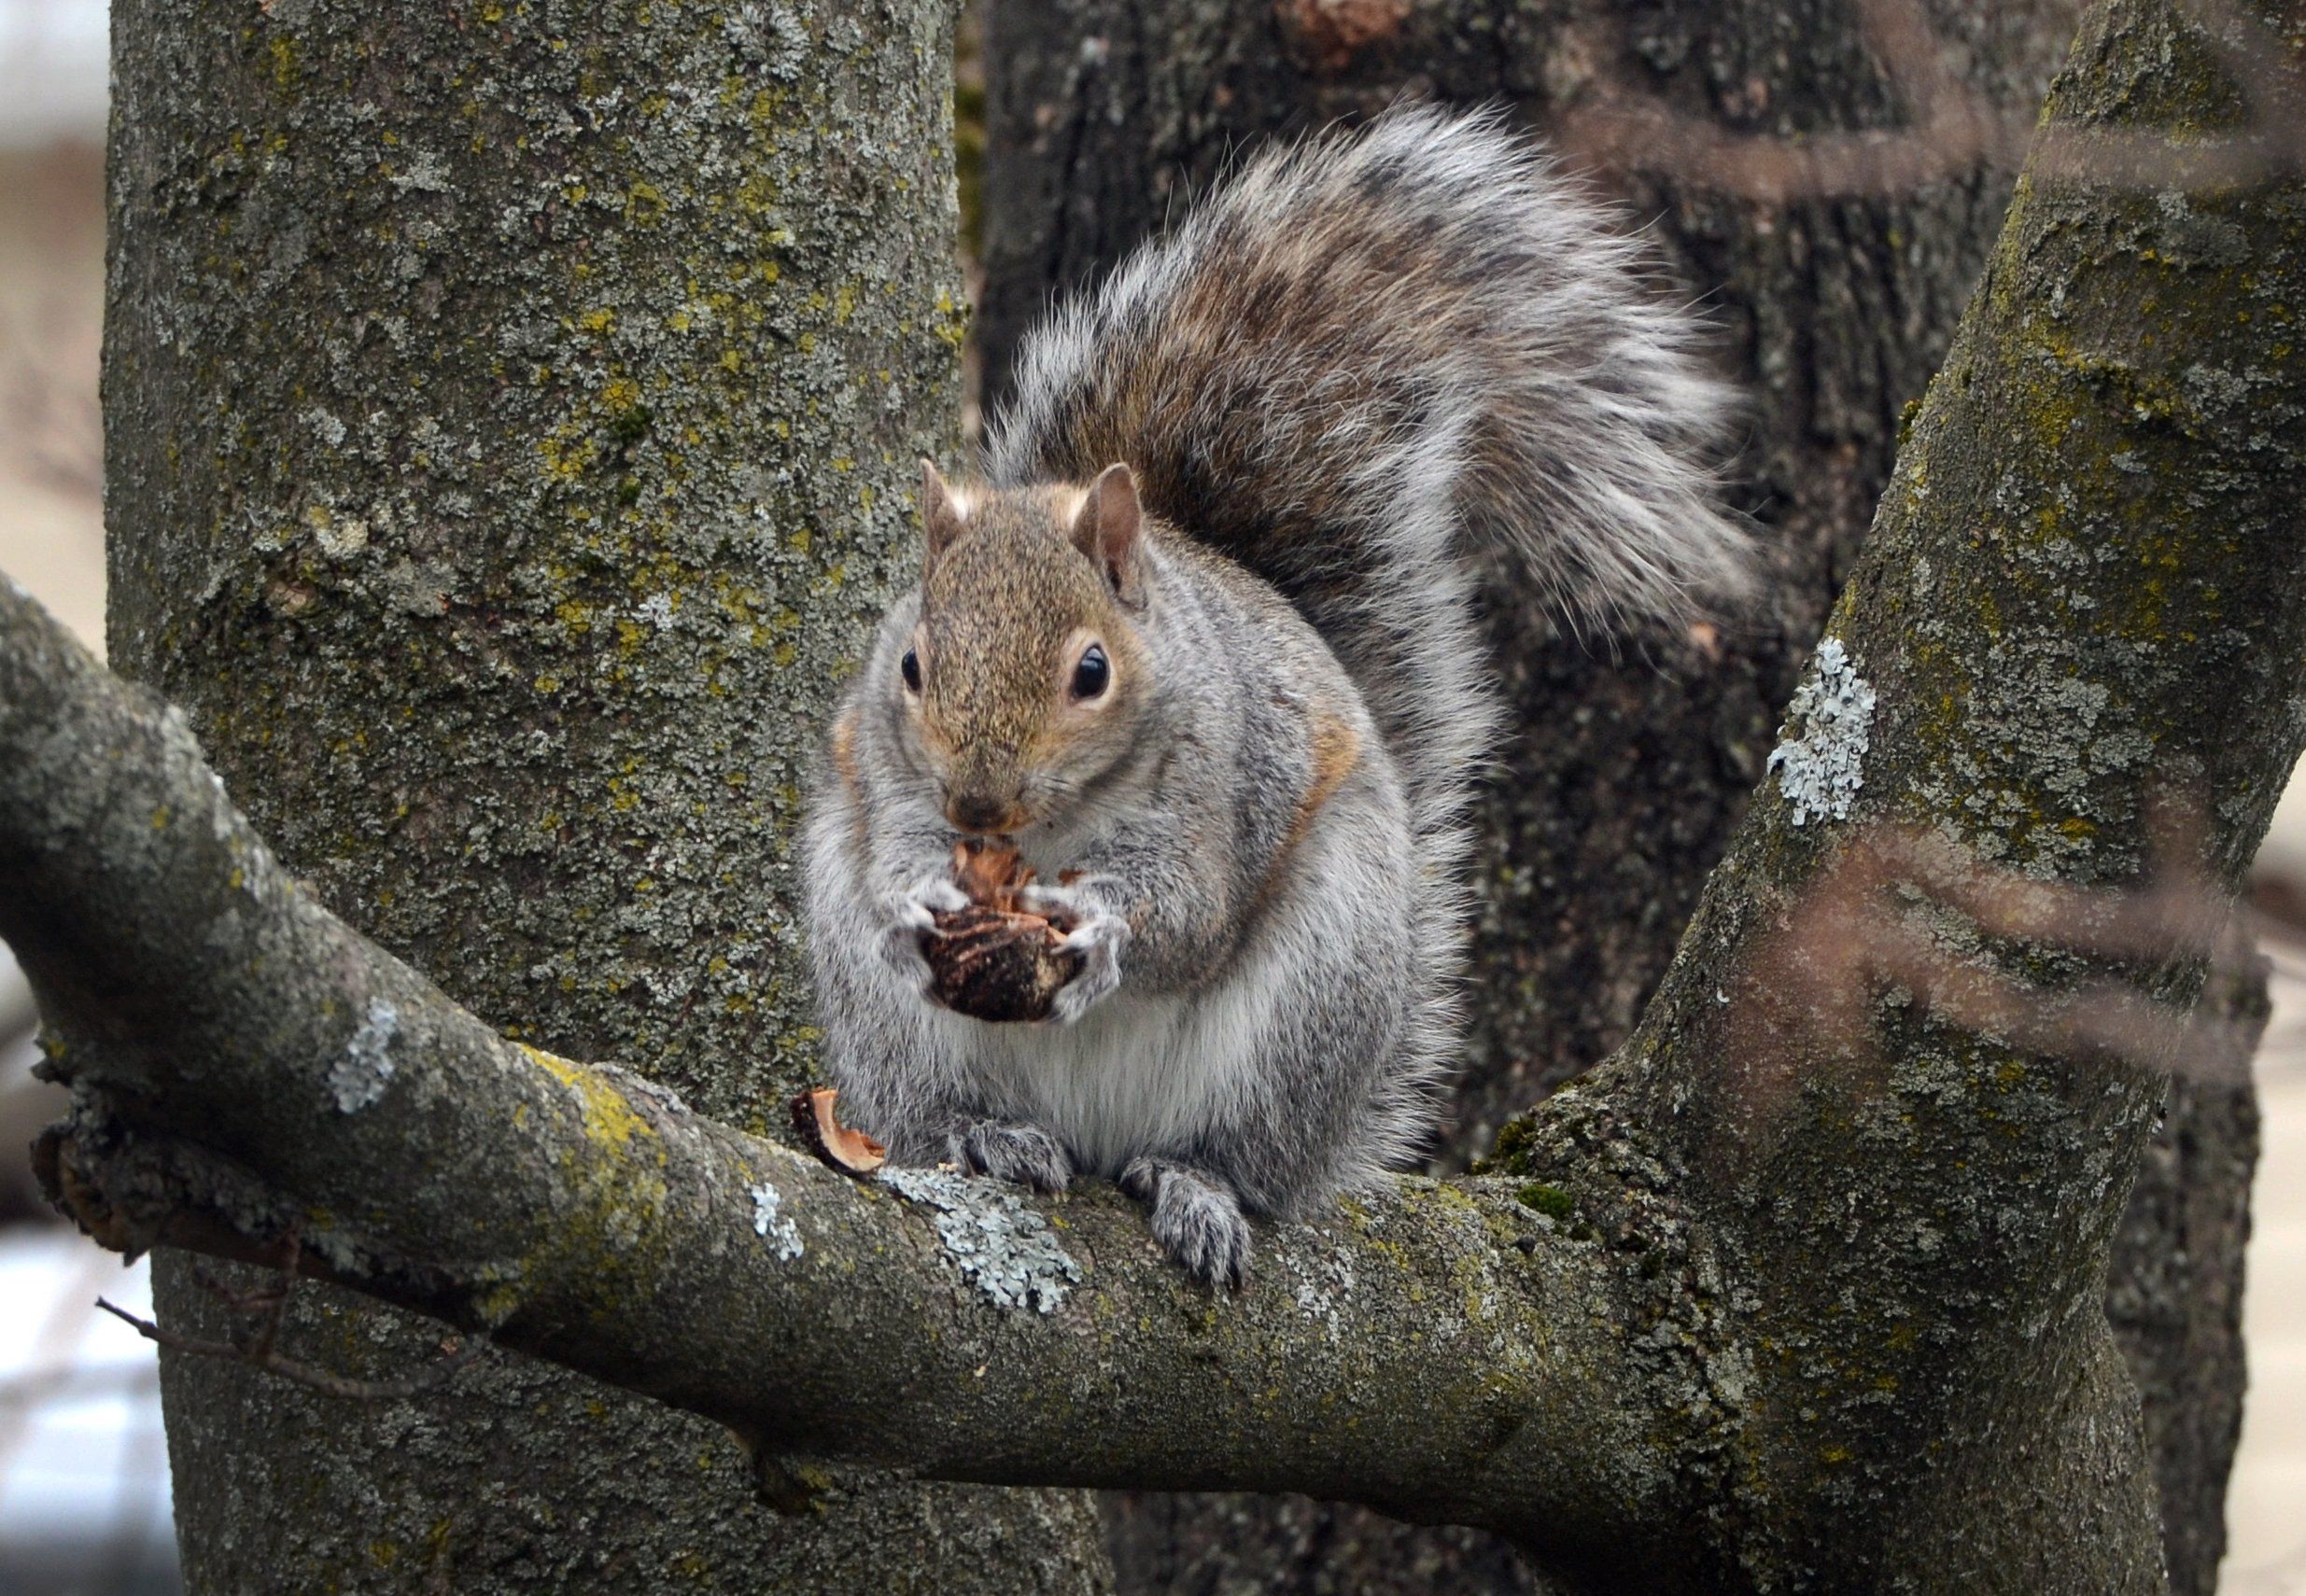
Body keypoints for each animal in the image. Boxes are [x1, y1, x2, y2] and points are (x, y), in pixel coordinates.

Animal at [802, 105, 1752, 1291]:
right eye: (911, 668)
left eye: (1091, 673)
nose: (976, 806)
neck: (1049, 832)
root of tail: (1092, 1134)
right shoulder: (885, 772)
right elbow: (892, 846)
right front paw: (920, 898)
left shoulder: (1229, 776)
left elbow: (1192, 915)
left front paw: (1103, 927)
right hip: (894, 1038)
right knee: (934, 1111)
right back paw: (990, 1136)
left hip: (1313, 999)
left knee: (1233, 1150)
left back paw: (1194, 1186)